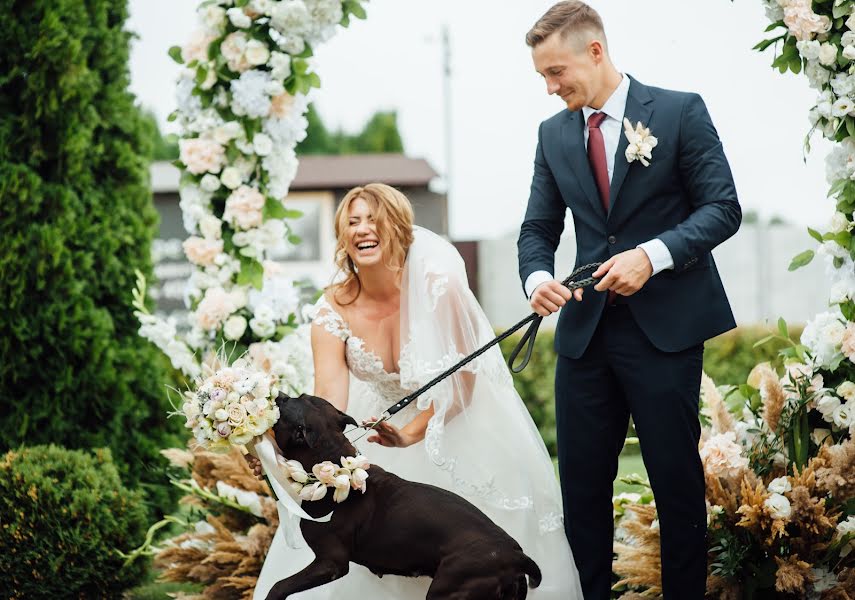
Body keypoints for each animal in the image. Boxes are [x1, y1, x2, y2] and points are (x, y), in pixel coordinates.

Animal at [268, 394, 540, 600]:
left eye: (285, 405)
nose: (278, 394)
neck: (332, 463)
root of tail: (517, 555)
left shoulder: (331, 563)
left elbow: (278, 585)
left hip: (450, 589)